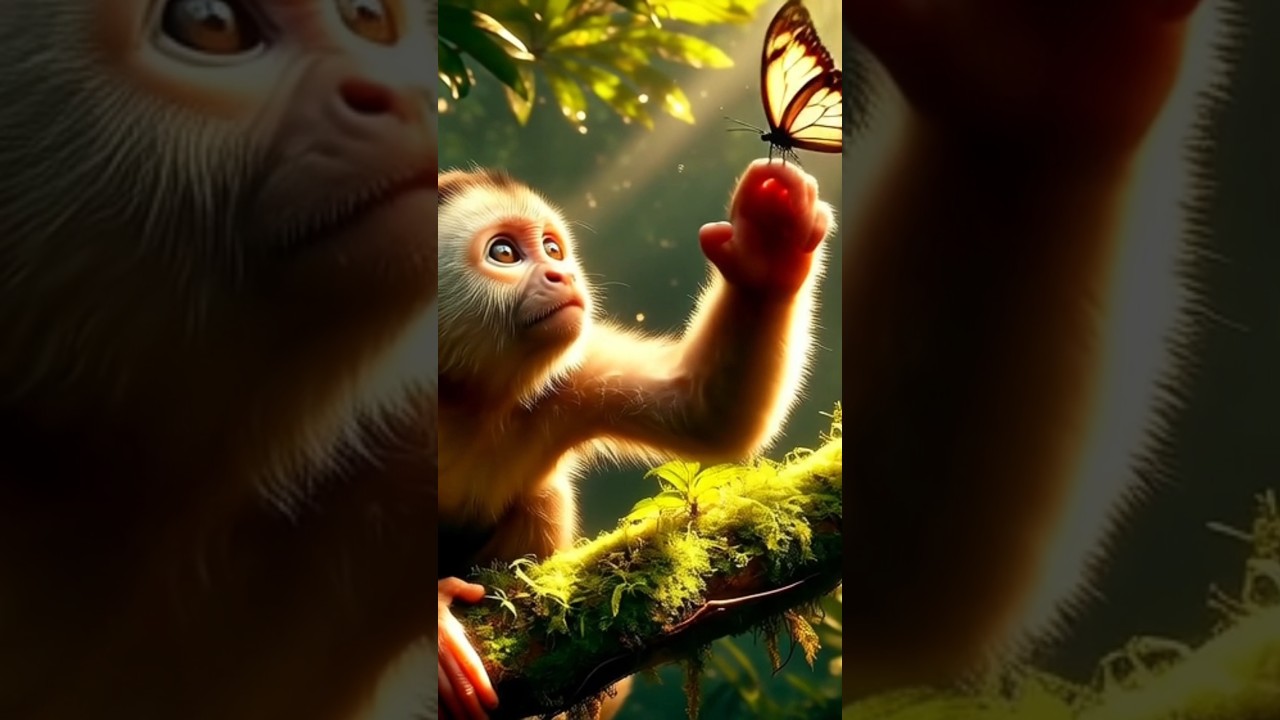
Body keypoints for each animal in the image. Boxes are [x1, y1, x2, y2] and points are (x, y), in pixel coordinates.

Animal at [433, 160, 834, 719]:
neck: (464, 401)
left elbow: (706, 413)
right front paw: (439, 633)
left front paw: (768, 247)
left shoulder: (571, 376)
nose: (563, 275)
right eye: (505, 253)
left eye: (552, 249)